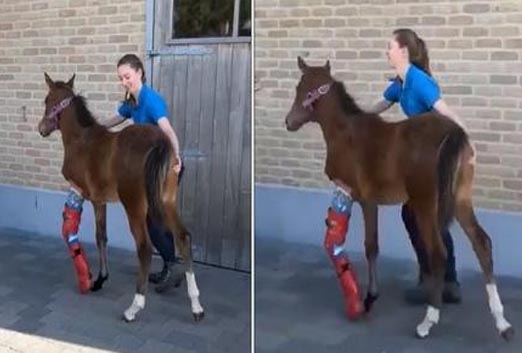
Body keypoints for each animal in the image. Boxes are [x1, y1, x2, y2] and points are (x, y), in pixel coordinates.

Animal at [37, 73, 204, 322]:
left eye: (47, 100)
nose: (41, 128)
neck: (81, 139)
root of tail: (160, 143)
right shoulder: (102, 200)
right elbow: (102, 237)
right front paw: (100, 277)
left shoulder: (90, 197)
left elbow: (98, 236)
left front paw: (97, 279)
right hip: (166, 202)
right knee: (183, 238)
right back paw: (196, 305)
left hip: (134, 206)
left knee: (144, 248)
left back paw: (134, 307)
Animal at [282, 57, 510, 338]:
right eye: (299, 87)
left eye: (307, 90)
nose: (289, 121)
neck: (347, 134)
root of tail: (454, 133)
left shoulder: (362, 198)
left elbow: (370, 246)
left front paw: (369, 298)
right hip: (460, 199)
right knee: (482, 243)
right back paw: (501, 321)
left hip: (426, 203)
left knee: (439, 252)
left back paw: (428, 320)